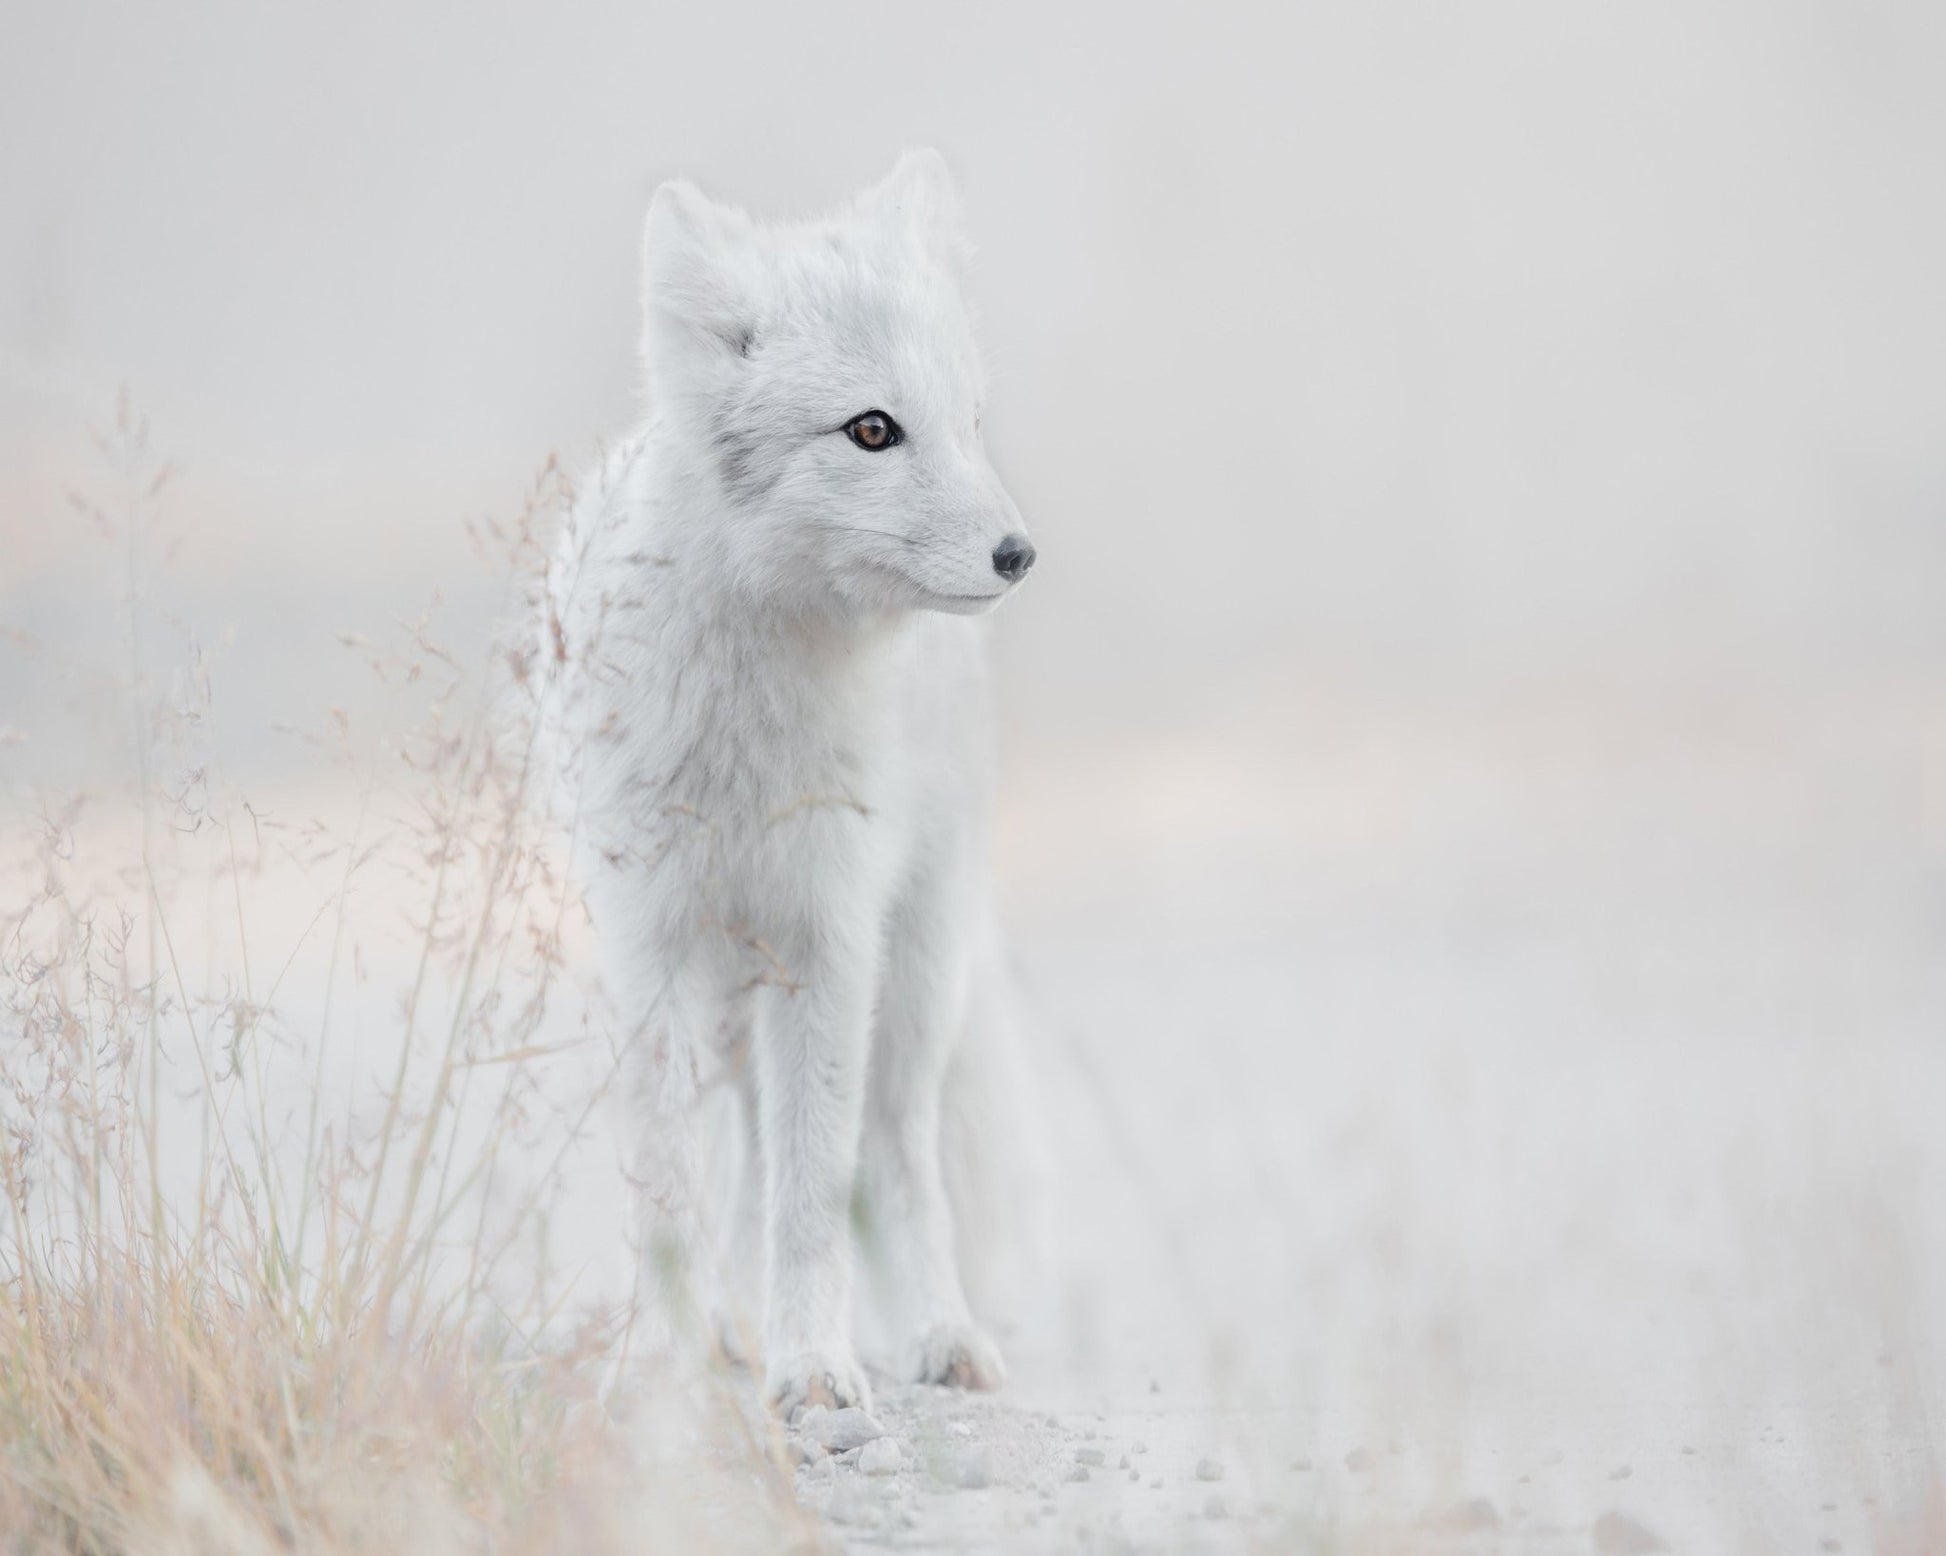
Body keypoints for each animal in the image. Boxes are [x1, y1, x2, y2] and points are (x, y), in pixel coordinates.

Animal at [542, 151, 1037, 1415]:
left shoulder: (826, 936)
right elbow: (668, 1185)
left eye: (968, 422)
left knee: (892, 1155)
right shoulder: (652, 945)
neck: (745, 738)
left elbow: (814, 1197)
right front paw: (668, 1357)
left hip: (904, 984)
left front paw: (811, 1365)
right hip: (733, 1002)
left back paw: (934, 1334)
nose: (1018, 554)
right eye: (871, 429)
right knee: (744, 1158)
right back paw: (731, 1328)